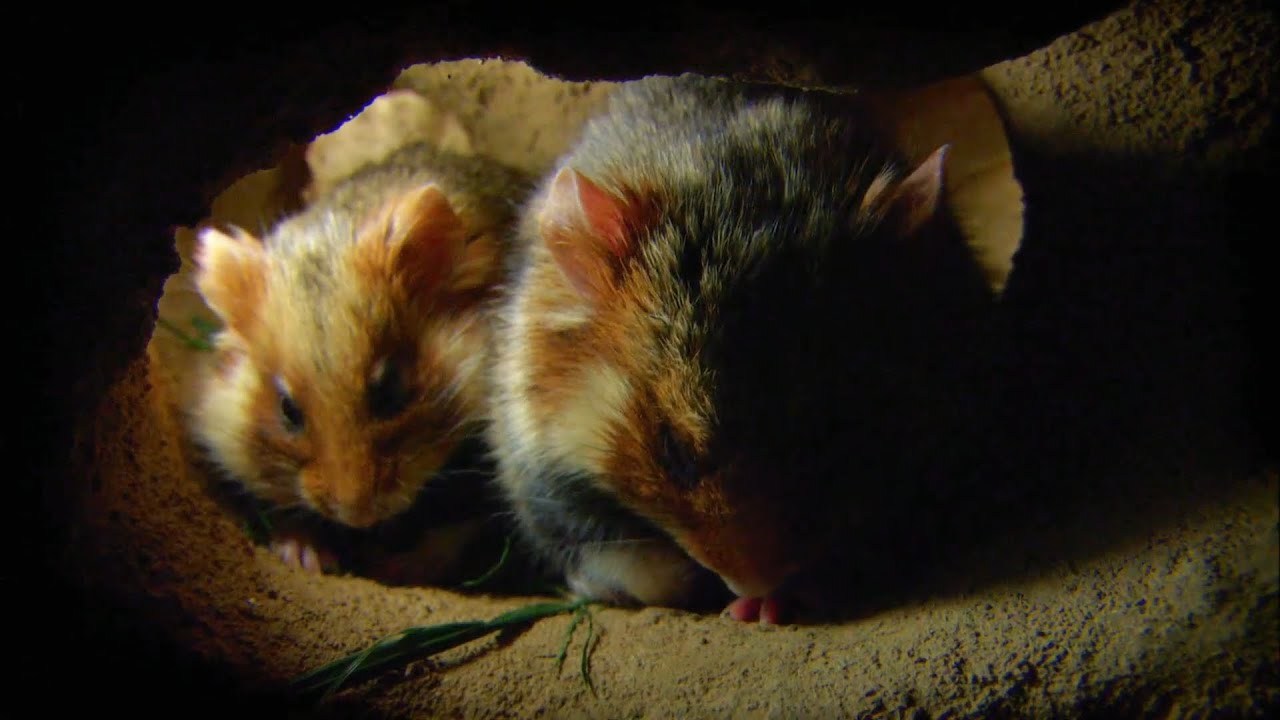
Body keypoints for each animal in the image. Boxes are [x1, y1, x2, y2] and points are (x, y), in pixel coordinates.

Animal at [191, 141, 531, 578]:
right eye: (287, 410)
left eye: (390, 391)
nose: (358, 517)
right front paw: (306, 559)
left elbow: (452, 535)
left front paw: (388, 565)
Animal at [487, 75, 995, 620]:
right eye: (673, 450)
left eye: (835, 435)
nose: (753, 586)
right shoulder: (545, 477)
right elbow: (640, 569)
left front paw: (773, 605)